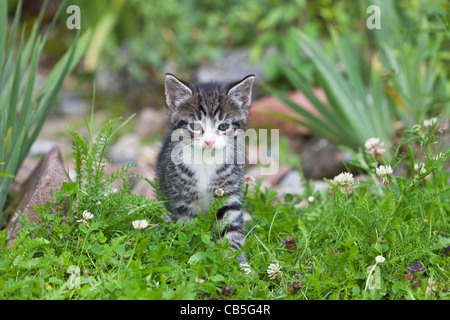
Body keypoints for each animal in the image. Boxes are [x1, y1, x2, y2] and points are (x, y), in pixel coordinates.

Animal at [156, 74, 253, 266]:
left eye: (223, 126)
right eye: (194, 126)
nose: (209, 141)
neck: (206, 161)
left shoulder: (227, 194)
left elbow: (231, 227)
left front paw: (239, 264)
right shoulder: (183, 200)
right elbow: (190, 229)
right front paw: (195, 256)